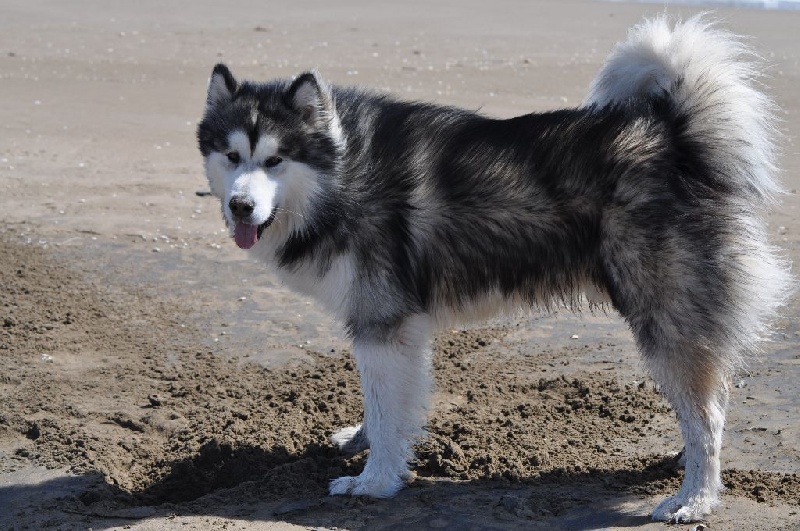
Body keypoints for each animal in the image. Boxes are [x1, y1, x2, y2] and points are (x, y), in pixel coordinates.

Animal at [196, 16, 790, 523]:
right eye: (232, 156)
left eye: (275, 160)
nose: (241, 207)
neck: (341, 176)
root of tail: (674, 136)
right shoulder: (391, 328)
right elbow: (383, 406)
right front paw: (363, 444)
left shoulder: (382, 324)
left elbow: (388, 414)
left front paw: (374, 482)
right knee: (712, 398)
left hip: (662, 317)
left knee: (707, 417)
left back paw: (695, 498)